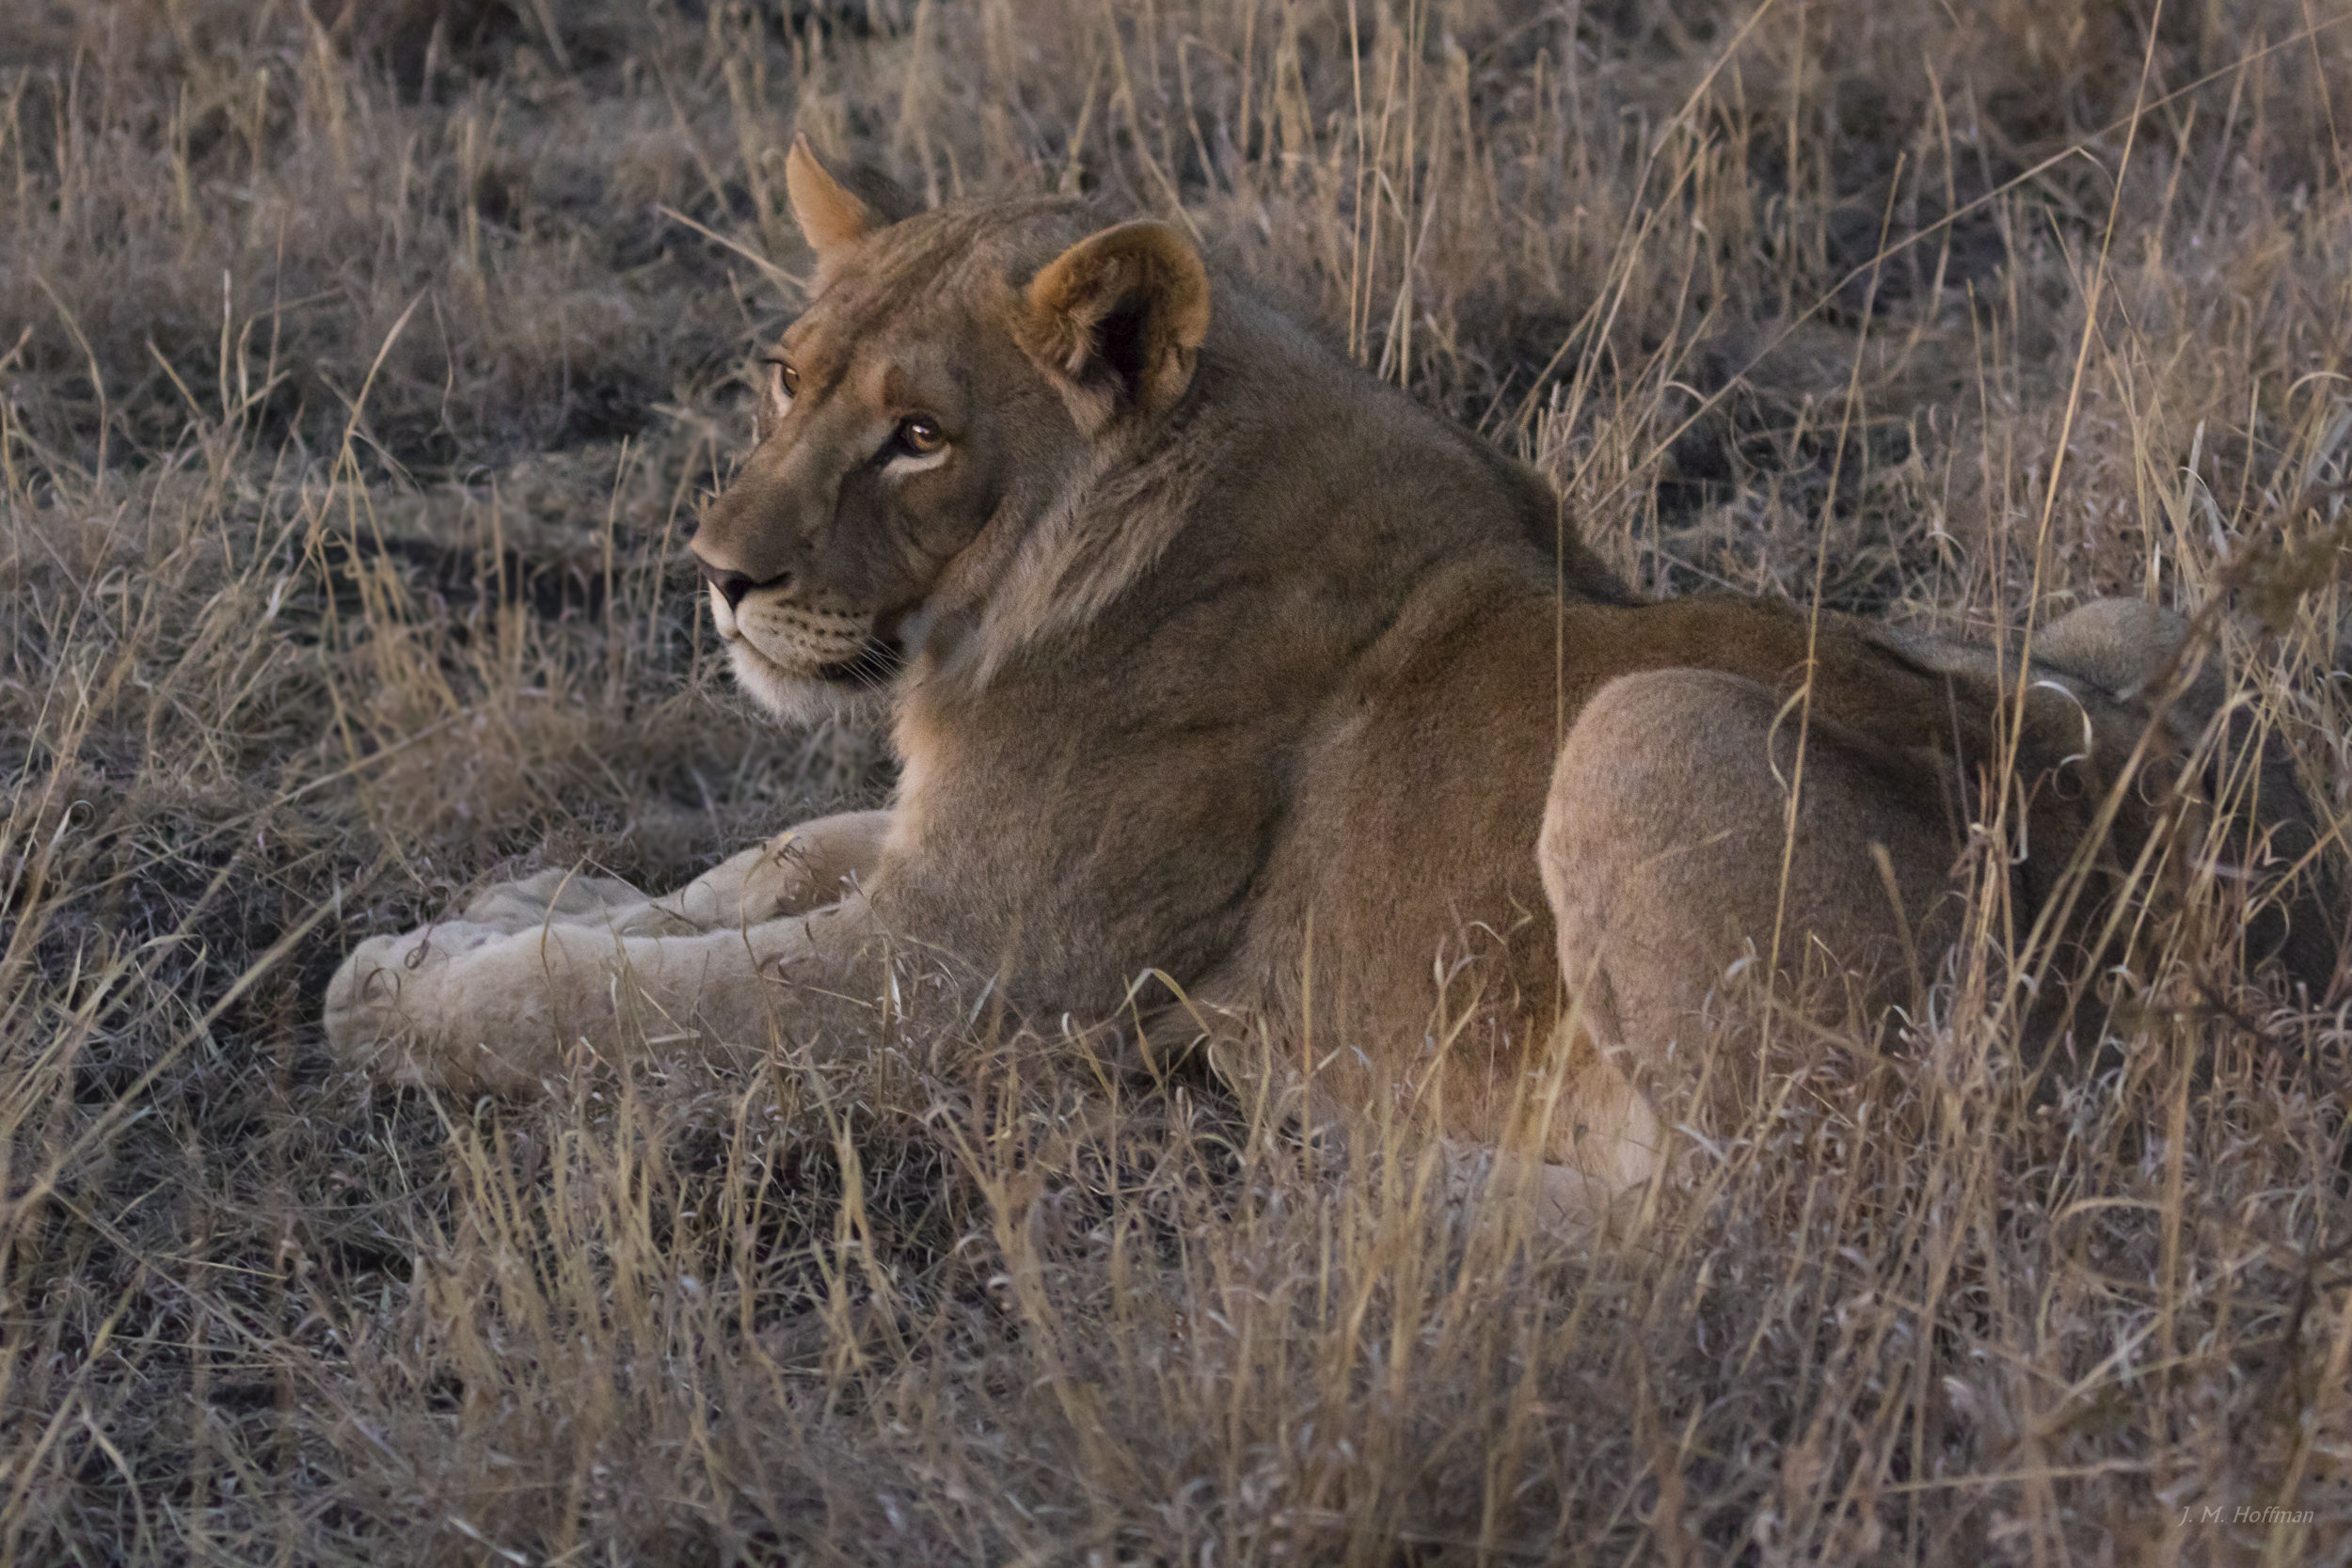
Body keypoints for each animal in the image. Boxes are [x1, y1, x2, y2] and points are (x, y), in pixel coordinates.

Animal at [325, 138, 2339, 1229]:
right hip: (2119, 625)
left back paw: (1355, 1179)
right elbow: (736, 871)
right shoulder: (930, 856)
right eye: (783, 379)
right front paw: (504, 898)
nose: (720, 574)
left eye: (919, 436)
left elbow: (623, 1006)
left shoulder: (971, 981)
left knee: (1787, 1206)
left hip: (1650, 730)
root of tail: (2257, 974)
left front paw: (400, 991)